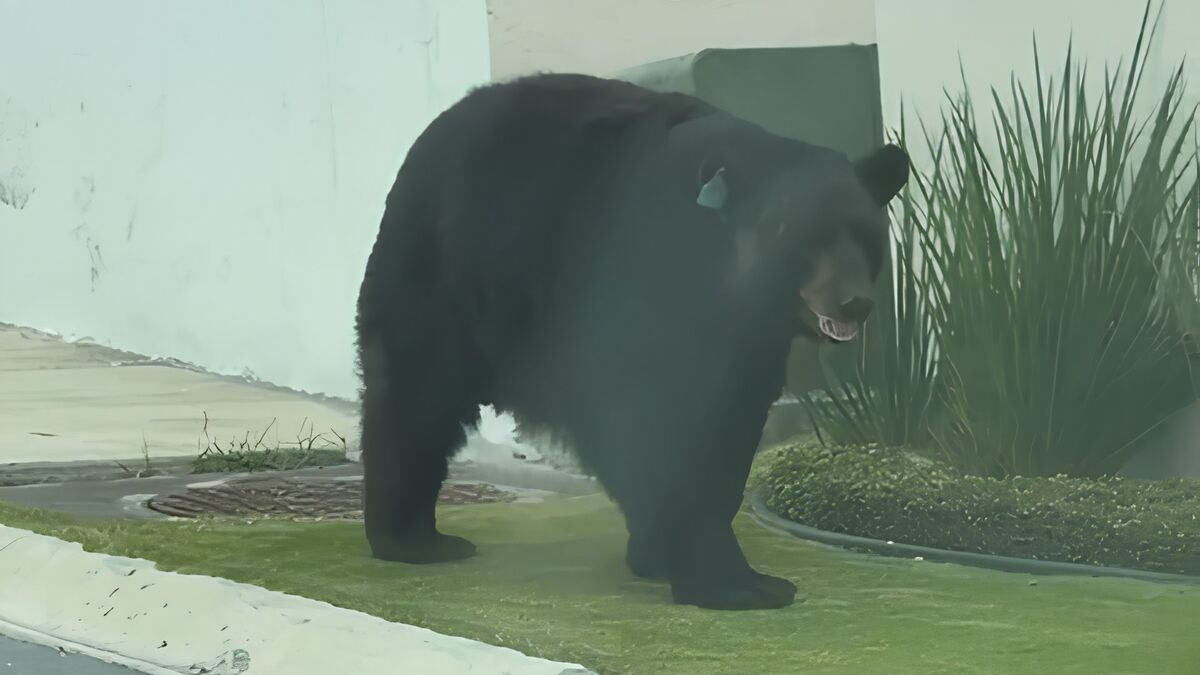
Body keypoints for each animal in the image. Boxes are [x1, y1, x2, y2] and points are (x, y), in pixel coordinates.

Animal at [355, 73, 909, 610]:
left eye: (866, 234)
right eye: (802, 235)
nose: (854, 303)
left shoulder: (749, 336)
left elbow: (730, 419)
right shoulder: (642, 281)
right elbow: (662, 424)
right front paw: (734, 584)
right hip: (450, 273)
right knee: (417, 394)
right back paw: (413, 540)